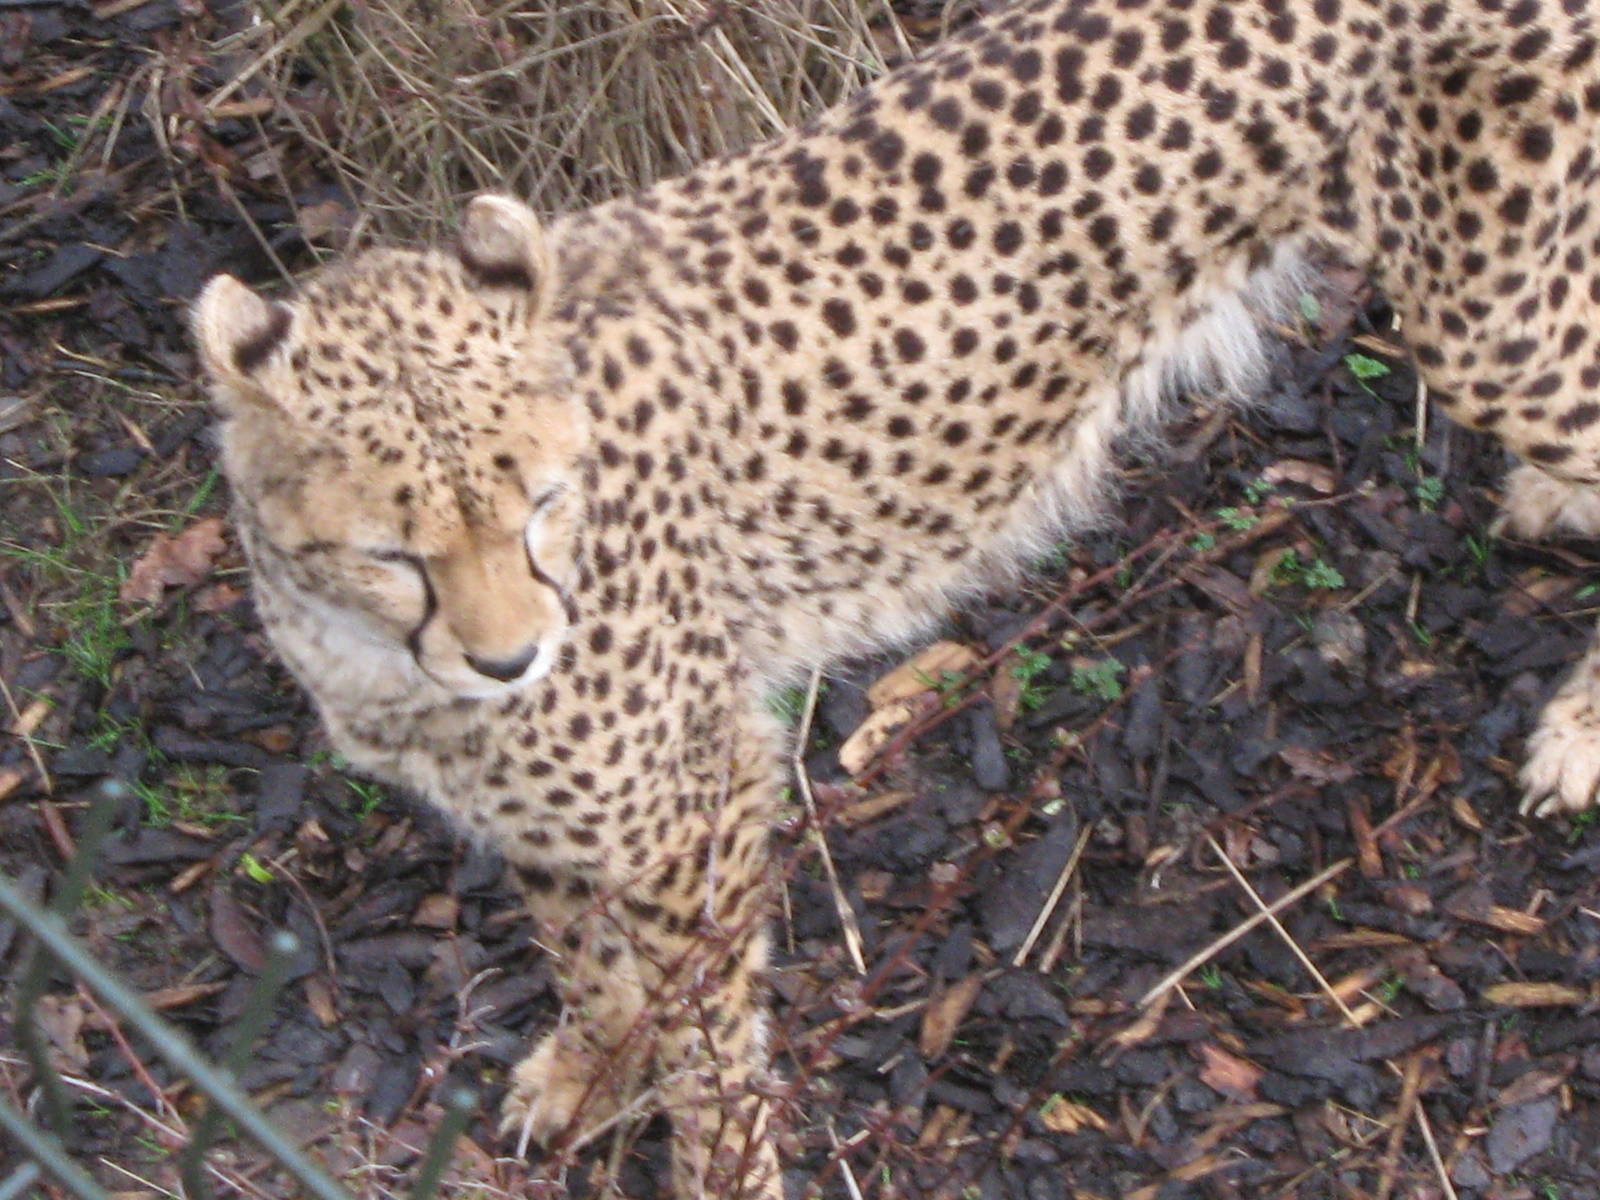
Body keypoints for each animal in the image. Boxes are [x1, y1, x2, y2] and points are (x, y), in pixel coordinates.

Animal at [192, 0, 1600, 1194]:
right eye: (394, 551)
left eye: (542, 505)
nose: (509, 661)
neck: (375, 654)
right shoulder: (558, 804)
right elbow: (581, 948)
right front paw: (589, 1067)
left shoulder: (695, 800)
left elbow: (708, 1042)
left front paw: (712, 1162)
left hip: (1492, 323)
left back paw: (1577, 723)